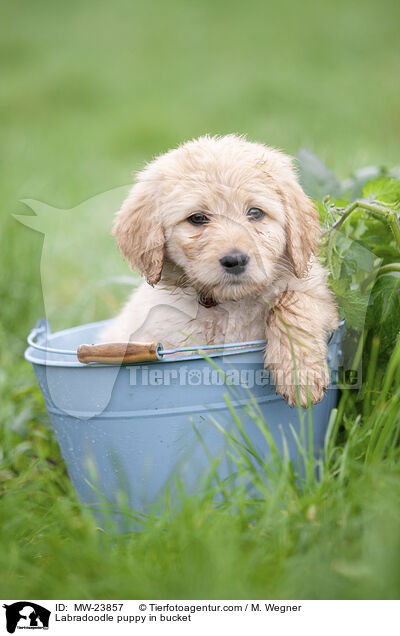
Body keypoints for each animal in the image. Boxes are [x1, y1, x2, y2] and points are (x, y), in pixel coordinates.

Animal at [102, 134, 338, 408]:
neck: (231, 304)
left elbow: (292, 300)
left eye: (255, 213)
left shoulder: (321, 299)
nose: (235, 260)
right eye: (197, 218)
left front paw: (301, 373)